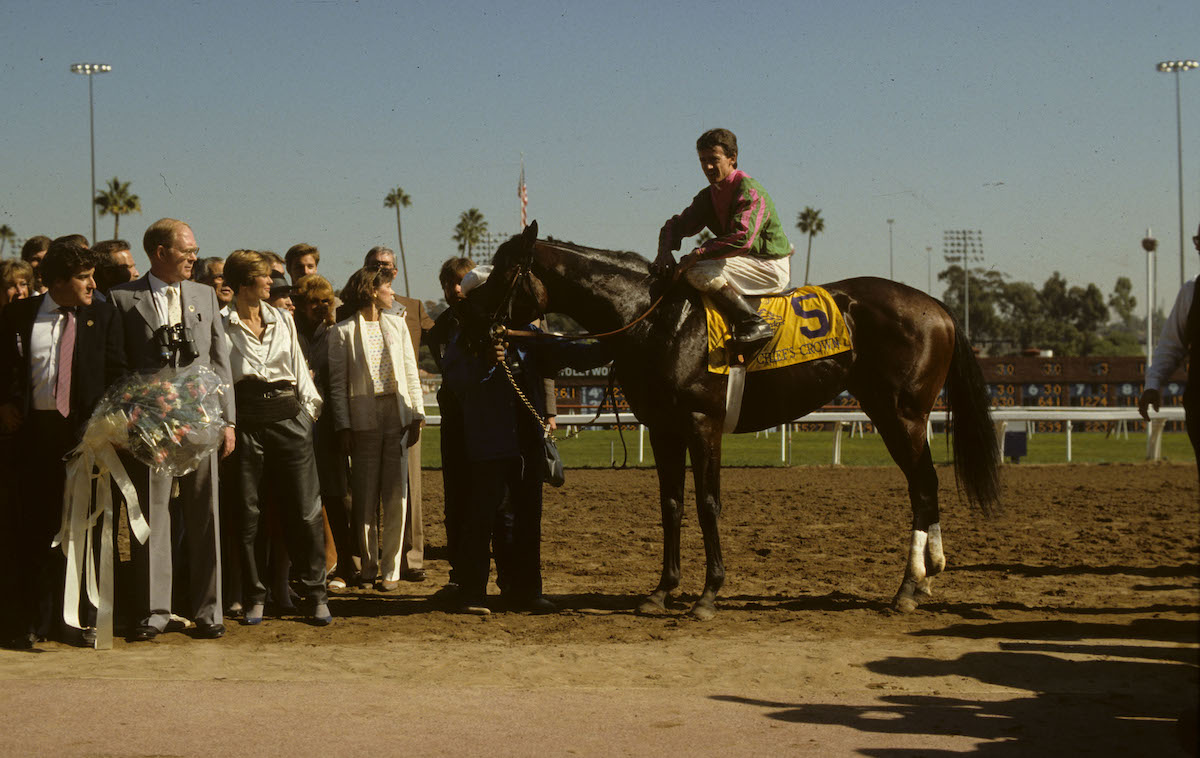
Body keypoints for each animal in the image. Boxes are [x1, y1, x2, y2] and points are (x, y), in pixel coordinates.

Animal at [468, 221, 1003, 618]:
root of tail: (937, 307)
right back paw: (928, 576)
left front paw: (708, 595)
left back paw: (908, 588)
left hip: (902, 415)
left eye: (504, 269)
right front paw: (661, 592)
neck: (658, 320)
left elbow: (707, 504)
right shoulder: (662, 429)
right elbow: (670, 506)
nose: (470, 324)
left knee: (924, 486)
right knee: (925, 485)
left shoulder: (702, 424)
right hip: (896, 413)